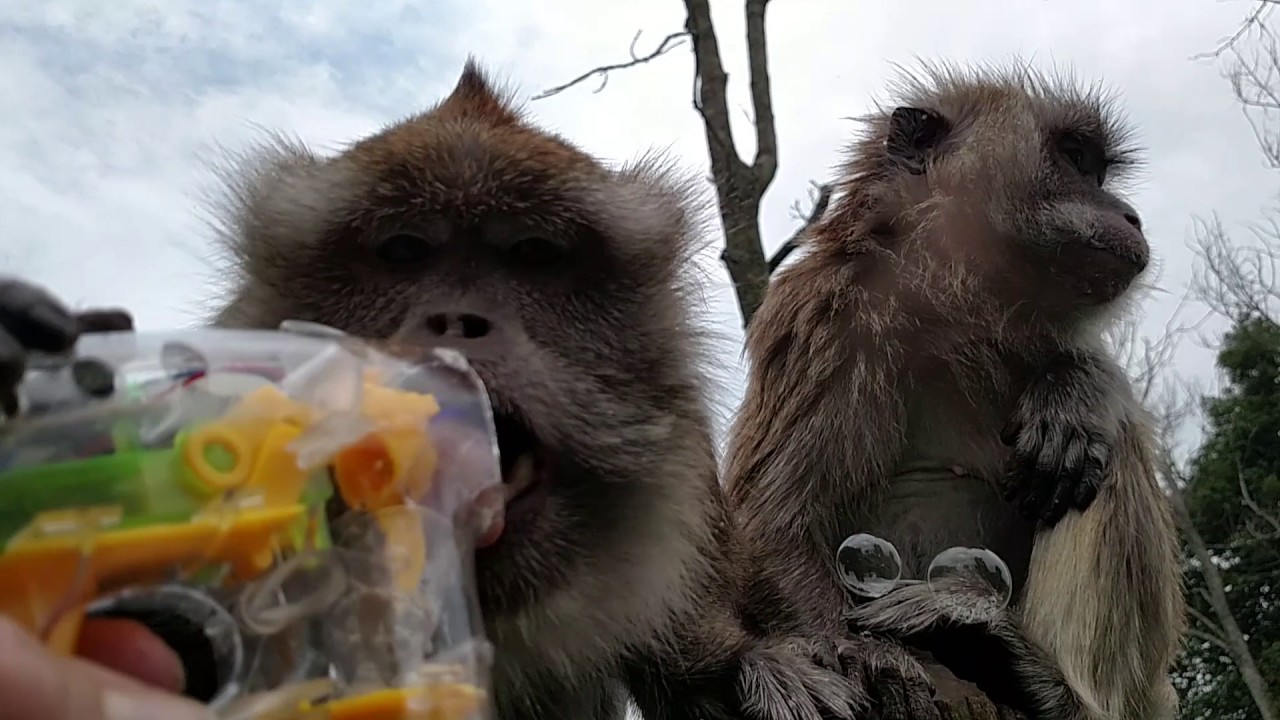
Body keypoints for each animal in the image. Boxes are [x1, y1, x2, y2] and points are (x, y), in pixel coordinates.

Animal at [723, 63, 1186, 720]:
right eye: (1075, 159)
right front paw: (851, 651)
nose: (1131, 216)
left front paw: (1077, 391)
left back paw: (1049, 685)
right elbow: (769, 523)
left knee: (1102, 454)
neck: (952, 306)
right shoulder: (826, 316)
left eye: (1096, 168)